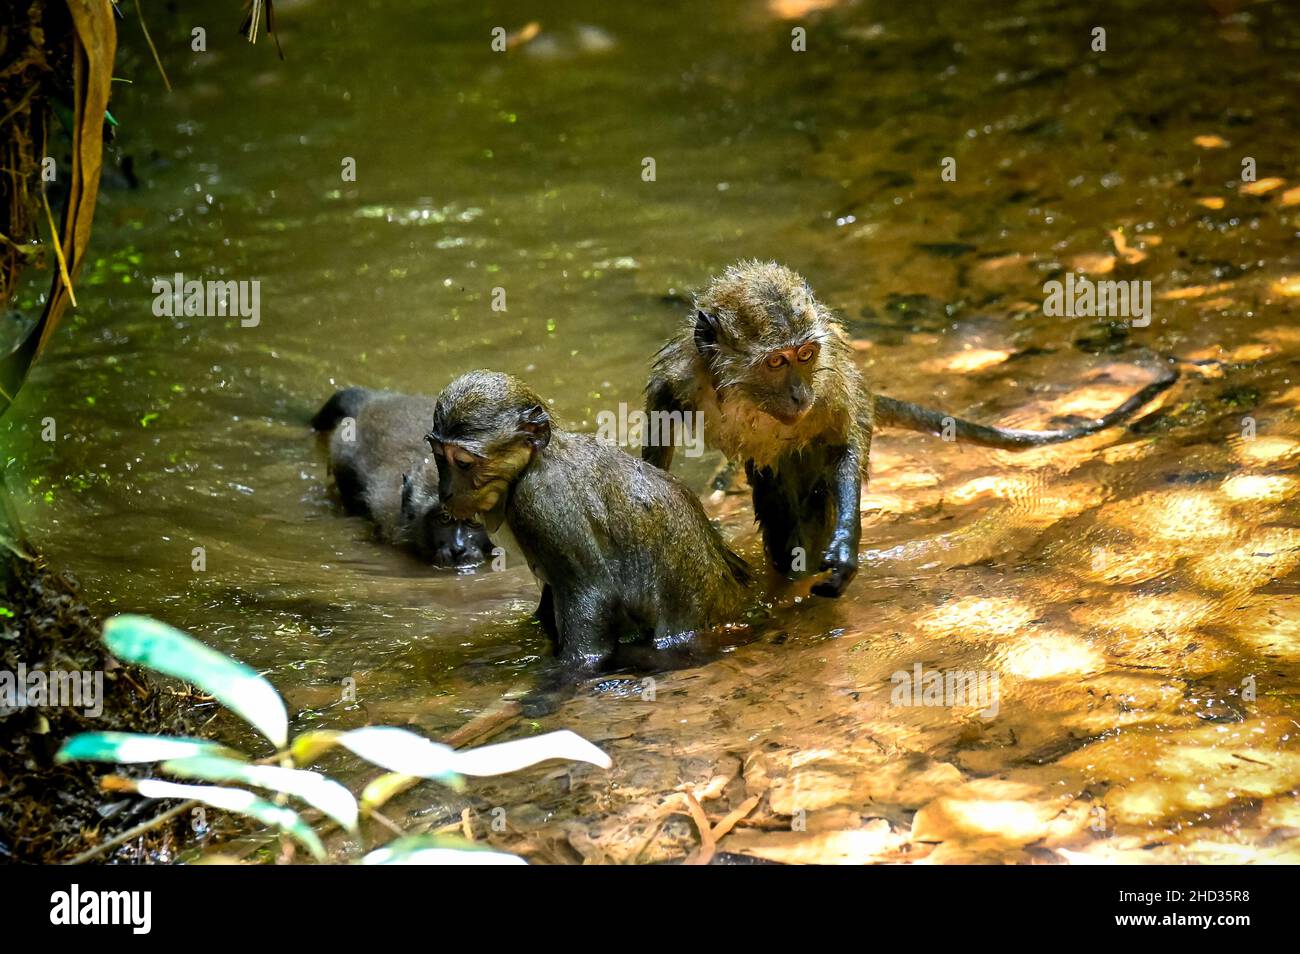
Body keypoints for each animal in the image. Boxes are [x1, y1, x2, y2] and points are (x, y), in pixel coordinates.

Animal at [426, 369, 754, 670]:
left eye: (463, 463)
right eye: (439, 456)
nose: (447, 492)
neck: (536, 460)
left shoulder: (542, 501)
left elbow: (592, 598)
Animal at [644, 261, 1185, 597]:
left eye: (805, 355)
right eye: (775, 362)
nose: (799, 396)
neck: (746, 396)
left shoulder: (828, 388)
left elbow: (842, 444)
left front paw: (844, 545)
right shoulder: (683, 374)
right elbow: (661, 426)